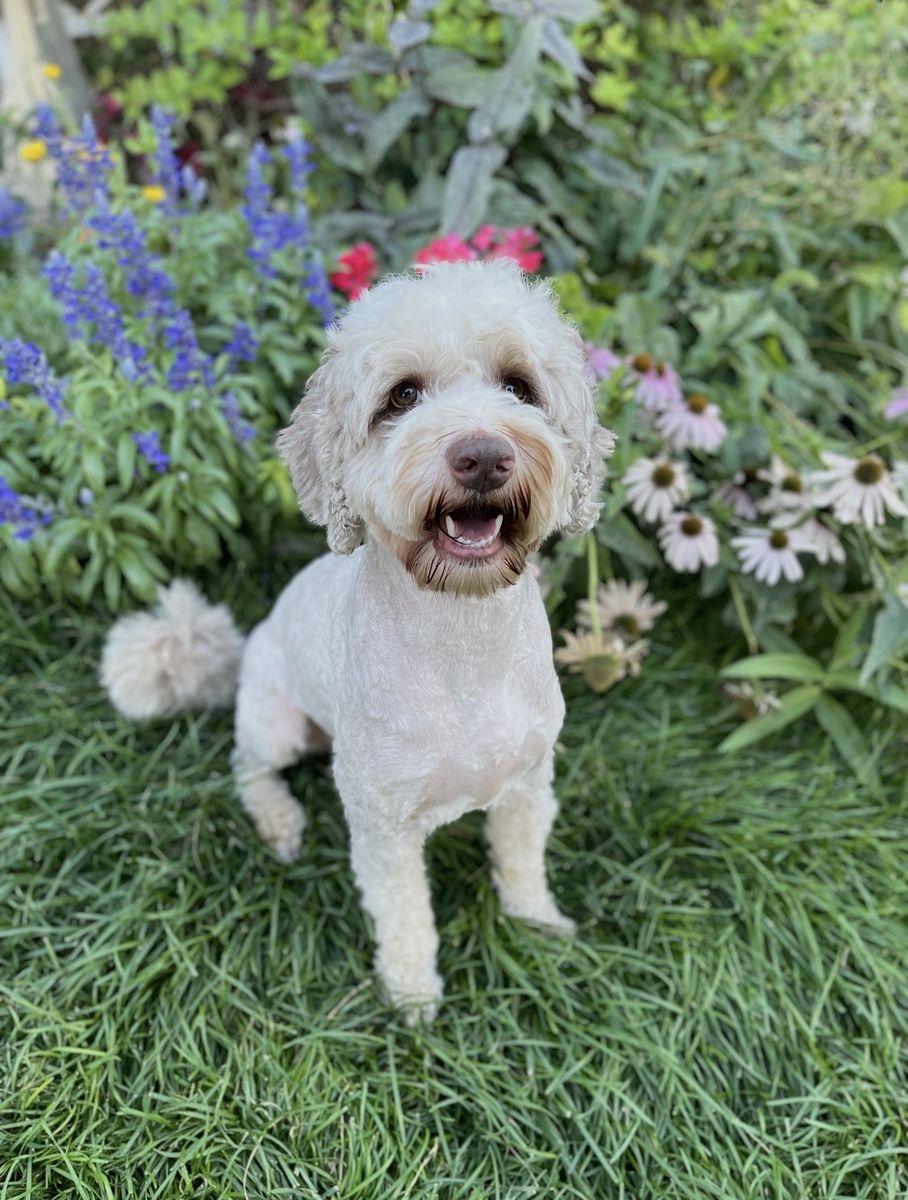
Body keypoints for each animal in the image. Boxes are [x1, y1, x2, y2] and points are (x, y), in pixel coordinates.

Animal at [102, 259, 616, 1019]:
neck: (462, 641)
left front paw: (539, 924)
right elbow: (405, 913)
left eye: (520, 387)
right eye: (402, 396)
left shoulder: (527, 786)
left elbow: (523, 862)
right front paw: (413, 996)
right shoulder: (384, 825)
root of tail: (250, 641)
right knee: (247, 766)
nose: (484, 456)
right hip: (275, 724)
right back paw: (280, 823)